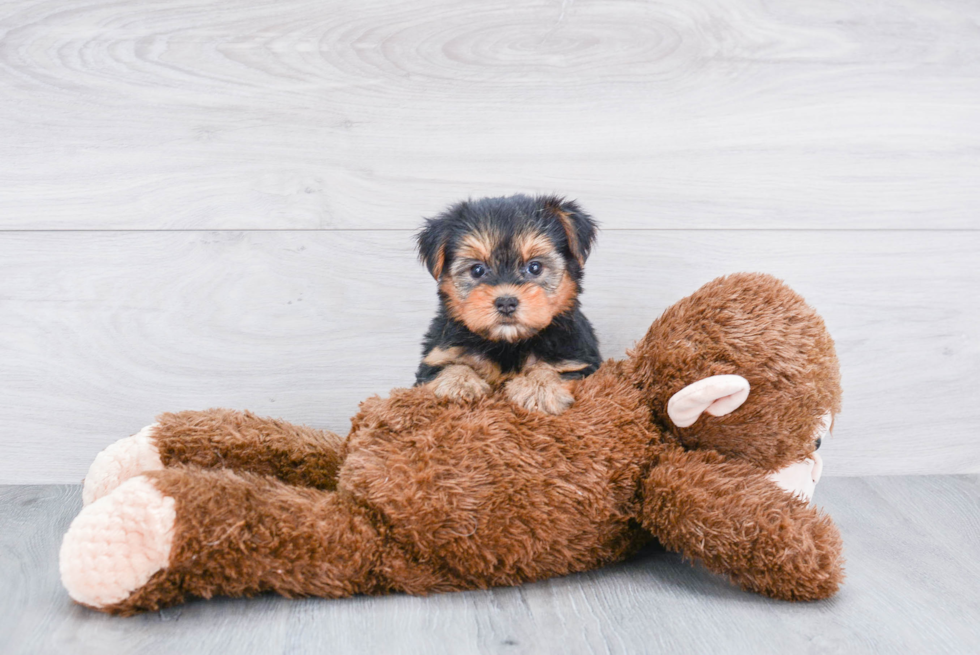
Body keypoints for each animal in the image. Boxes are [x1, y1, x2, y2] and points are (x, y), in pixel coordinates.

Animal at [412, 195, 600, 416]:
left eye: (535, 267)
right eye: (477, 270)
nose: (506, 302)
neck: (508, 342)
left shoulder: (577, 363)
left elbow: (549, 369)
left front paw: (539, 389)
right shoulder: (437, 356)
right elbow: (447, 367)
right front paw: (459, 384)